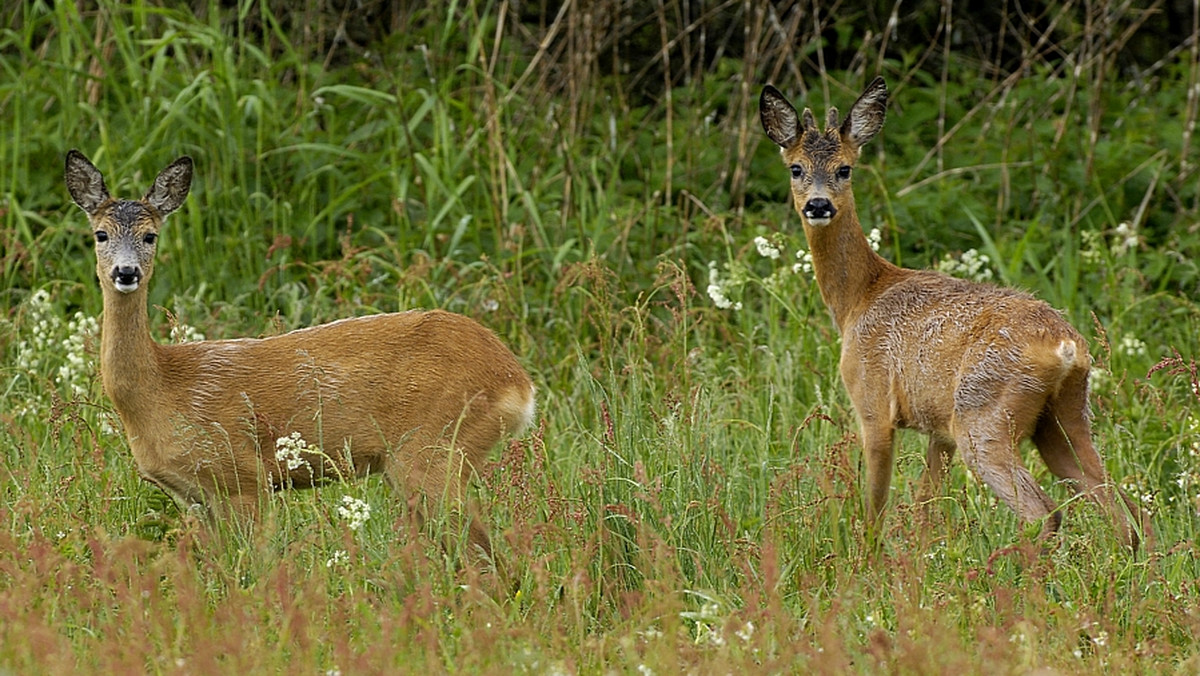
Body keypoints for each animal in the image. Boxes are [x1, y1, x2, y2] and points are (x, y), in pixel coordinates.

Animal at [65, 150, 535, 557]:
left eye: (151, 235)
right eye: (100, 234)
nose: (126, 272)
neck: (162, 388)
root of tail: (518, 383)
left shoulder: (244, 477)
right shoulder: (196, 499)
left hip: (433, 450)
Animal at [763, 79, 1147, 552]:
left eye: (845, 169)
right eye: (796, 168)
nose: (818, 205)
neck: (859, 298)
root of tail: (1066, 345)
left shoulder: (872, 402)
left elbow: (875, 508)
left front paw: (865, 561)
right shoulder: (938, 431)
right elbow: (927, 510)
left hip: (983, 414)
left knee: (1044, 512)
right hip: (1064, 417)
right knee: (1129, 513)